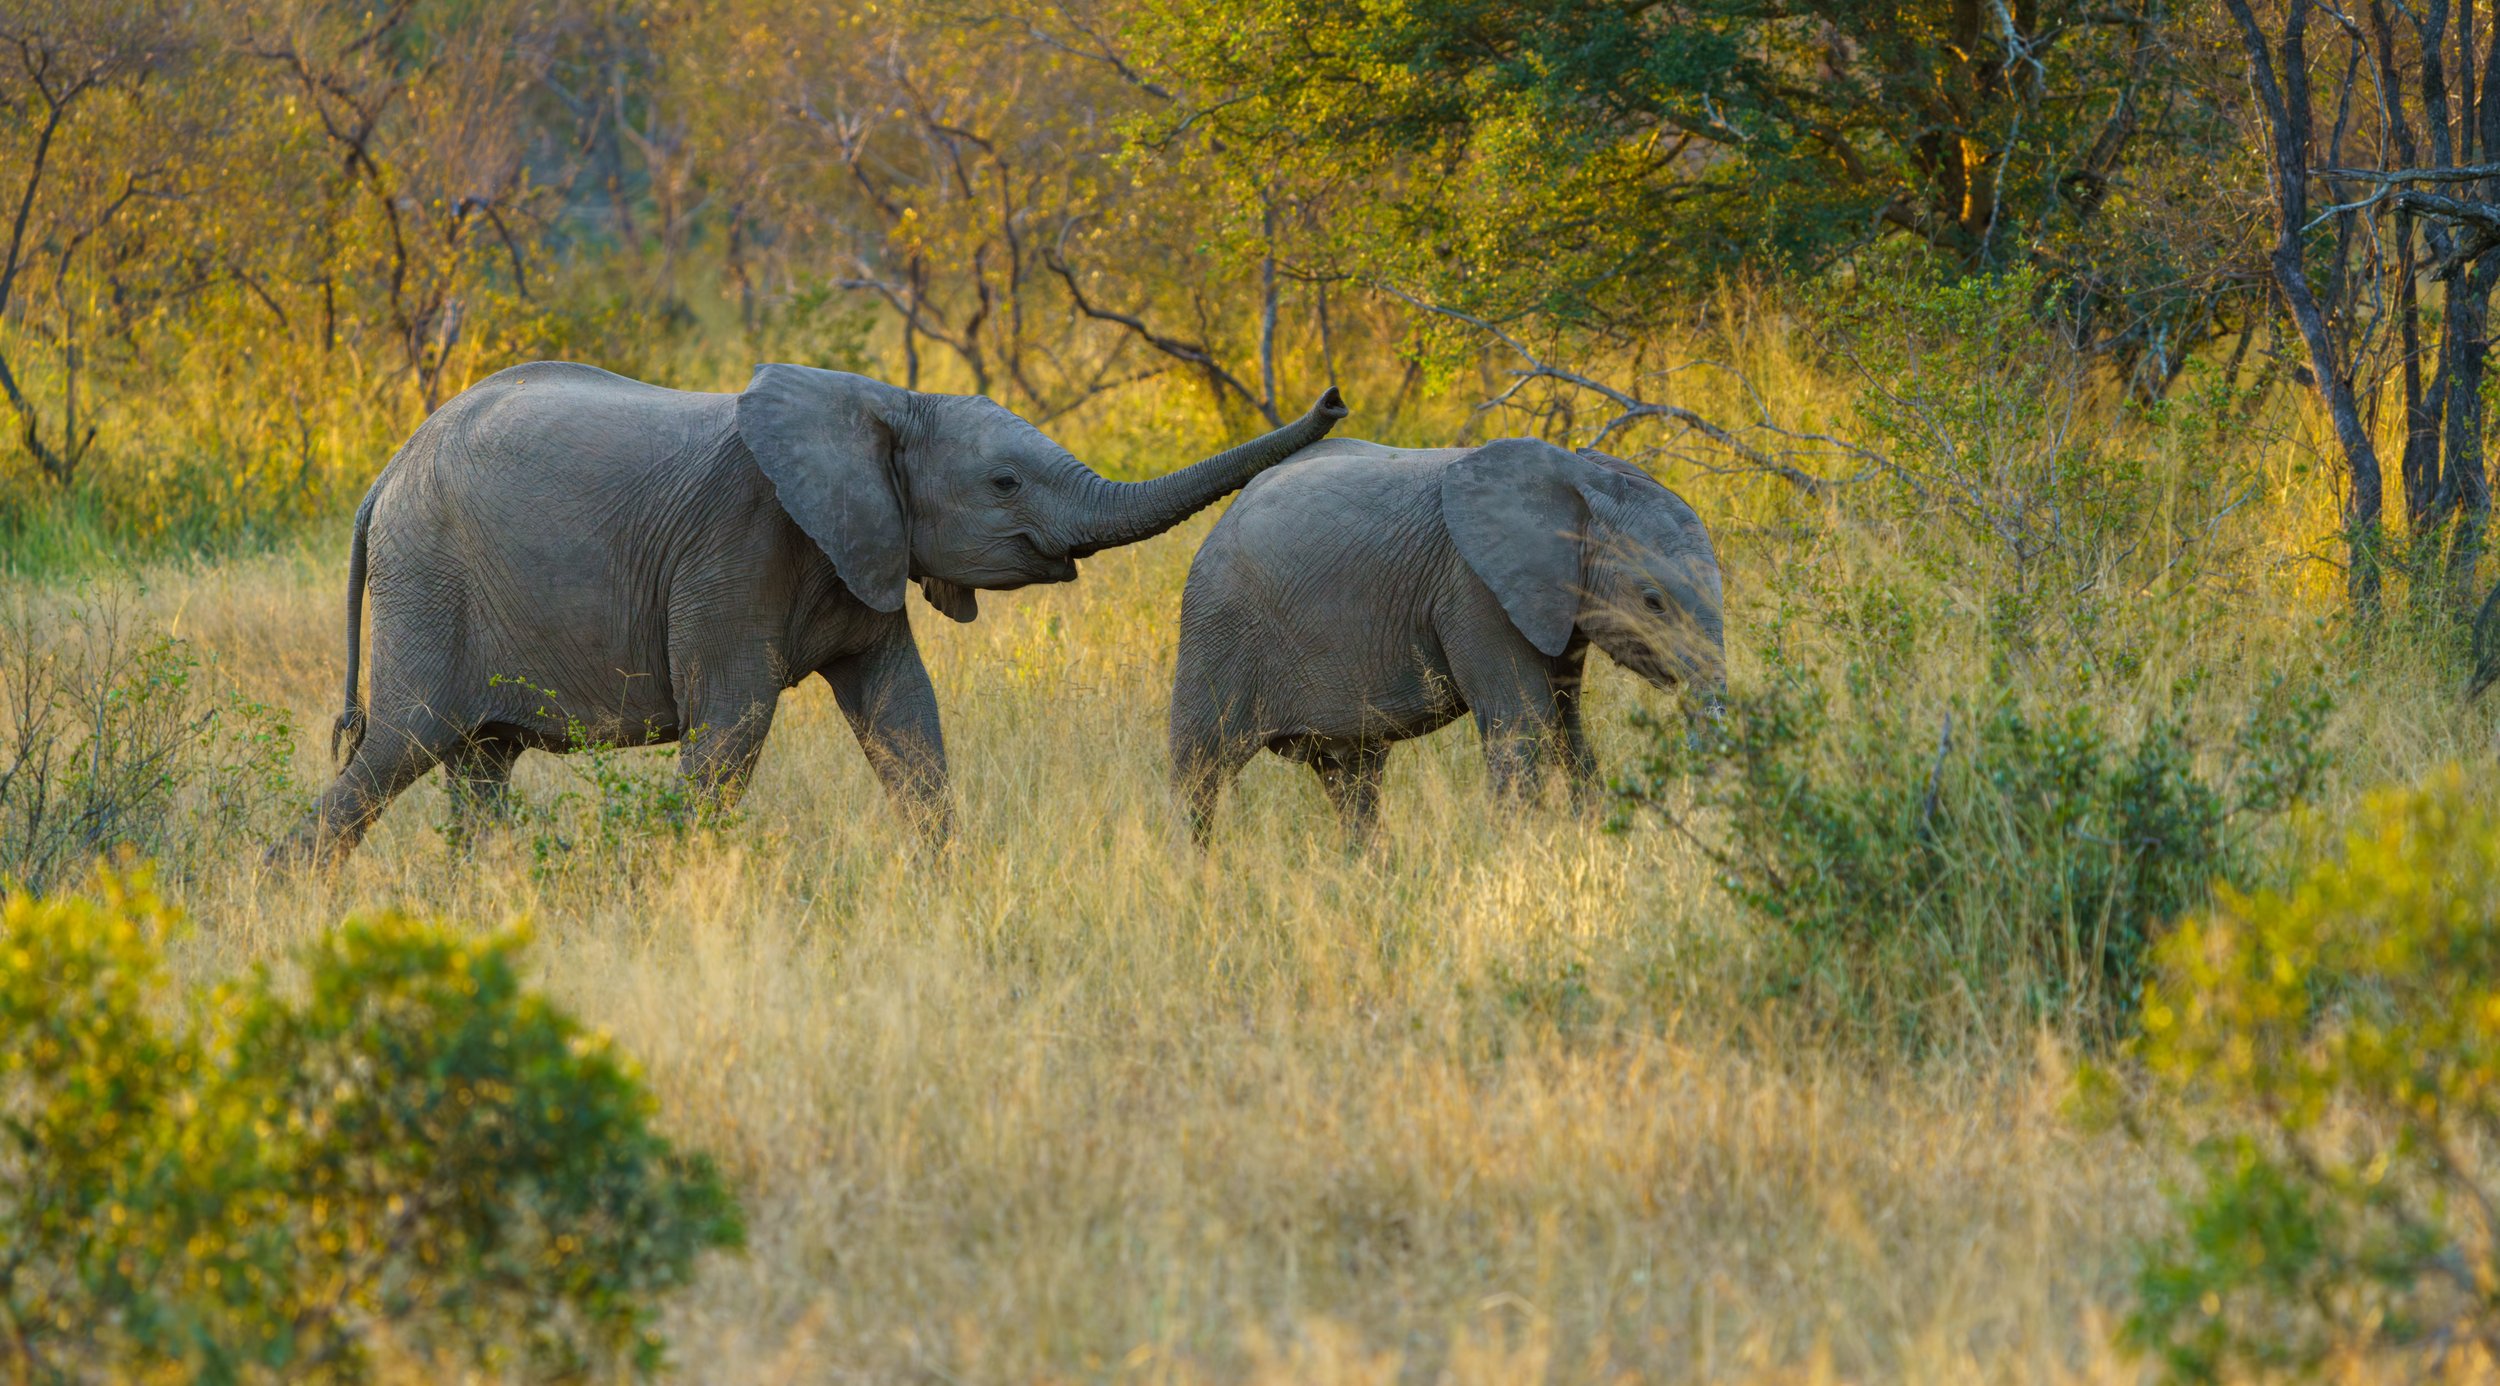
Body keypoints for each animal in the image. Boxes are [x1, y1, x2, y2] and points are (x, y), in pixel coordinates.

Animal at [276, 359, 1347, 862]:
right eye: (1004, 483)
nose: (1335, 399)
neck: (885, 403)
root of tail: (385, 476)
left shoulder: (860, 550)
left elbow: (904, 716)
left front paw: (942, 888)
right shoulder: (736, 550)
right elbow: (731, 728)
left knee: (480, 767)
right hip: (430, 585)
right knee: (403, 746)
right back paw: (287, 890)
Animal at [1168, 436, 1725, 845]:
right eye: (1653, 602)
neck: (1580, 476)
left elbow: (1567, 725)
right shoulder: (1474, 592)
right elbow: (1524, 721)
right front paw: (1513, 859)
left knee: (1352, 774)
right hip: (1218, 626)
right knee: (1199, 770)